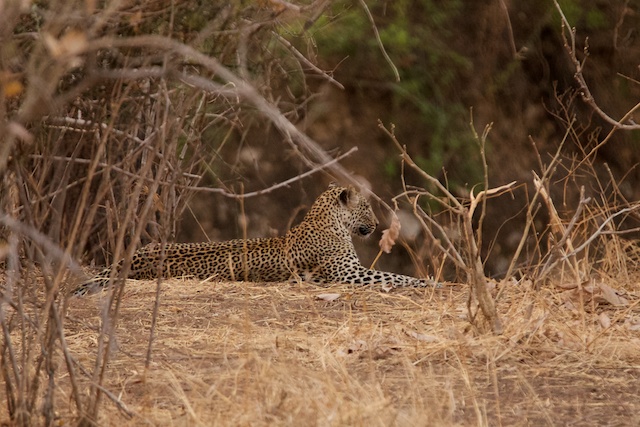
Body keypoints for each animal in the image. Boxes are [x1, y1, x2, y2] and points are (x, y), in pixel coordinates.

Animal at [72, 184, 438, 298]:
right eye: (366, 207)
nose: (375, 226)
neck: (327, 222)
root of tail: (130, 258)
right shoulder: (348, 274)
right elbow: (395, 277)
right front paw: (431, 282)